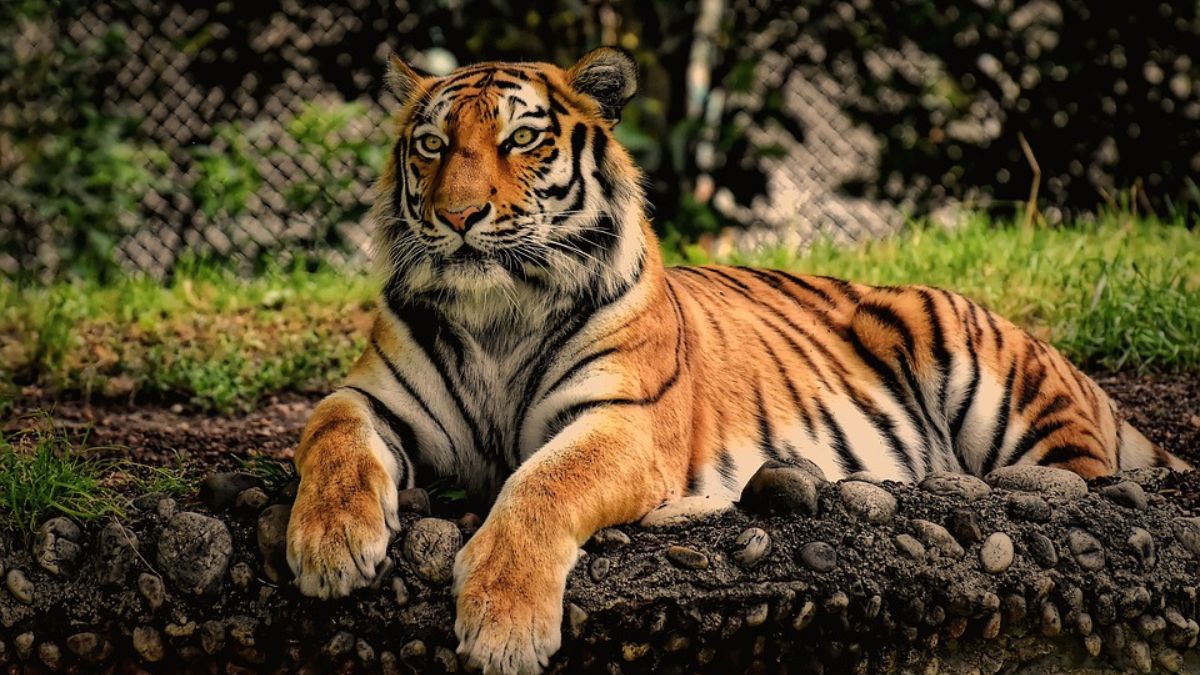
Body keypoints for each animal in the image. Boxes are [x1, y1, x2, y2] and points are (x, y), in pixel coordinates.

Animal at [285, 47, 1188, 674]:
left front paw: (503, 624)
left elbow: (540, 486)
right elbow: (329, 432)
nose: (459, 215)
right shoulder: (374, 396)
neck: (497, 312)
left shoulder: (622, 422)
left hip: (998, 382)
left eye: (523, 140)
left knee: (1080, 479)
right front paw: (330, 547)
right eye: (432, 145)